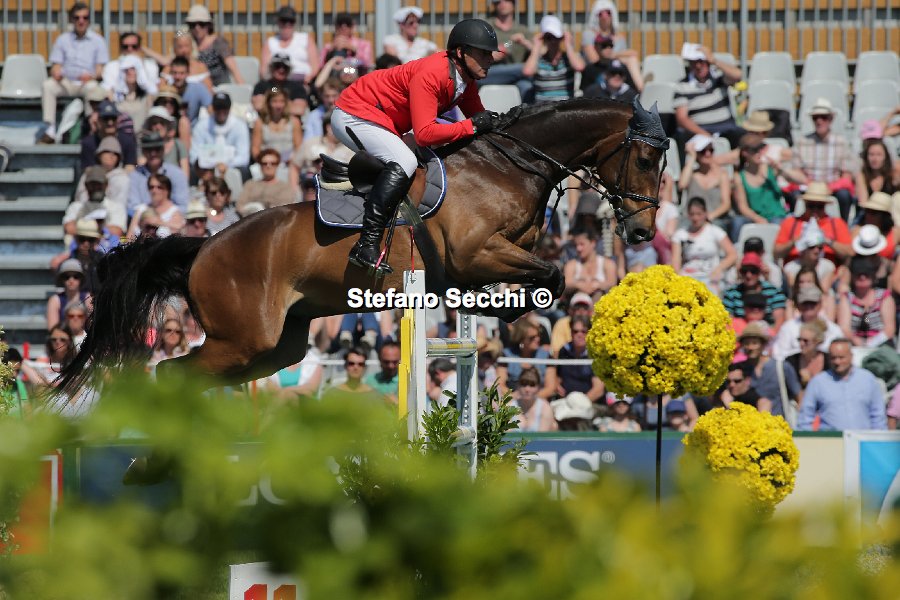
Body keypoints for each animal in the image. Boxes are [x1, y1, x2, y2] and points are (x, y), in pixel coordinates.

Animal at [56, 97, 669, 397]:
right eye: (645, 158)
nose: (642, 233)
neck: (508, 166)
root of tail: (205, 248)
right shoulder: (475, 254)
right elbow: (552, 276)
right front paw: (508, 315)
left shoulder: (495, 259)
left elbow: (541, 279)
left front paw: (499, 316)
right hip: (243, 339)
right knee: (171, 374)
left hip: (276, 347)